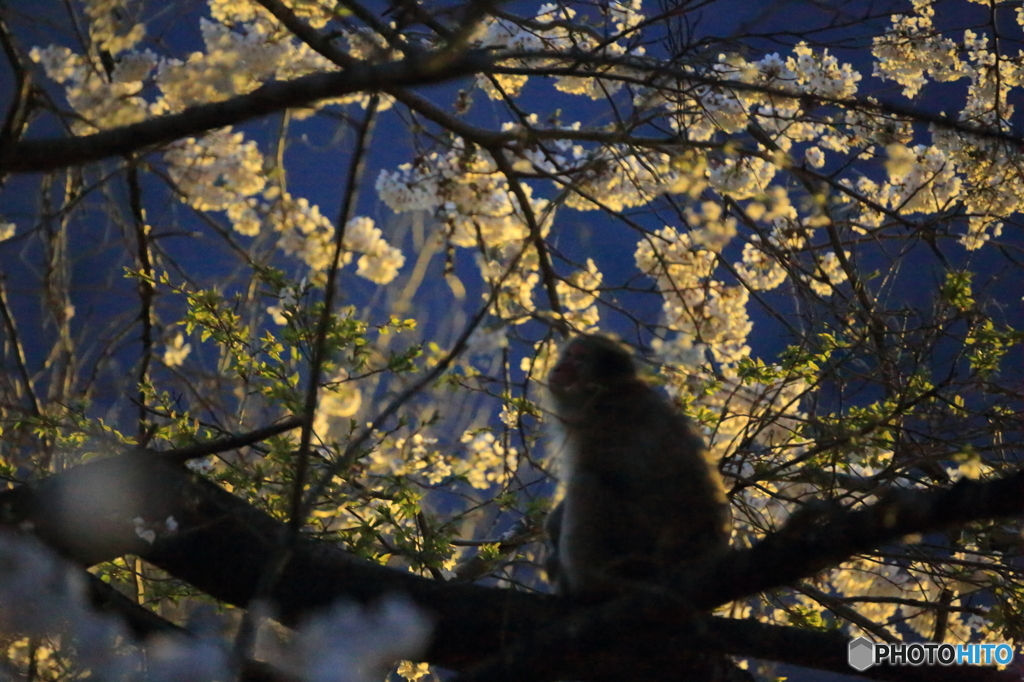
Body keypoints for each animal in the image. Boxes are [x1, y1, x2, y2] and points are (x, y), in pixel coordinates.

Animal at [544, 331, 729, 598]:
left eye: (579, 358)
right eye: (568, 355)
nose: (558, 368)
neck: (614, 390)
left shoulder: (596, 422)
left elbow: (591, 470)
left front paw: (552, 526)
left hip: (638, 542)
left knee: (585, 484)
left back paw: (590, 586)